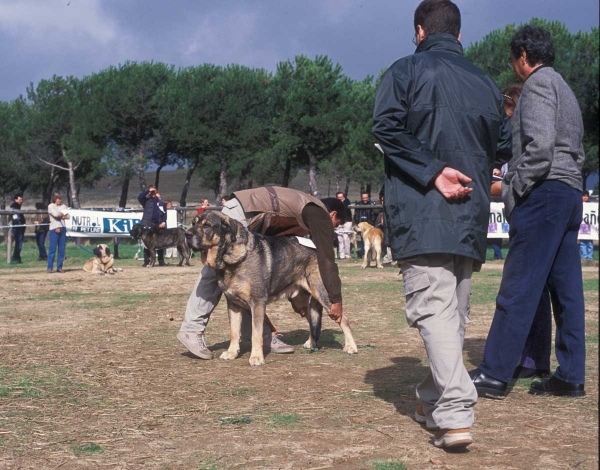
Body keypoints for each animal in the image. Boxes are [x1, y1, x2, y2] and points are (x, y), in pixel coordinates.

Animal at [185, 210, 358, 368]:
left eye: (207, 225)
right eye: (193, 223)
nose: (187, 234)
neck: (230, 257)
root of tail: (316, 248)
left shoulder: (257, 303)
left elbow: (256, 333)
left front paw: (256, 357)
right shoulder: (233, 304)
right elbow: (234, 331)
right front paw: (232, 353)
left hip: (323, 294)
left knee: (343, 319)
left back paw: (351, 347)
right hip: (300, 301)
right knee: (313, 319)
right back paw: (311, 343)